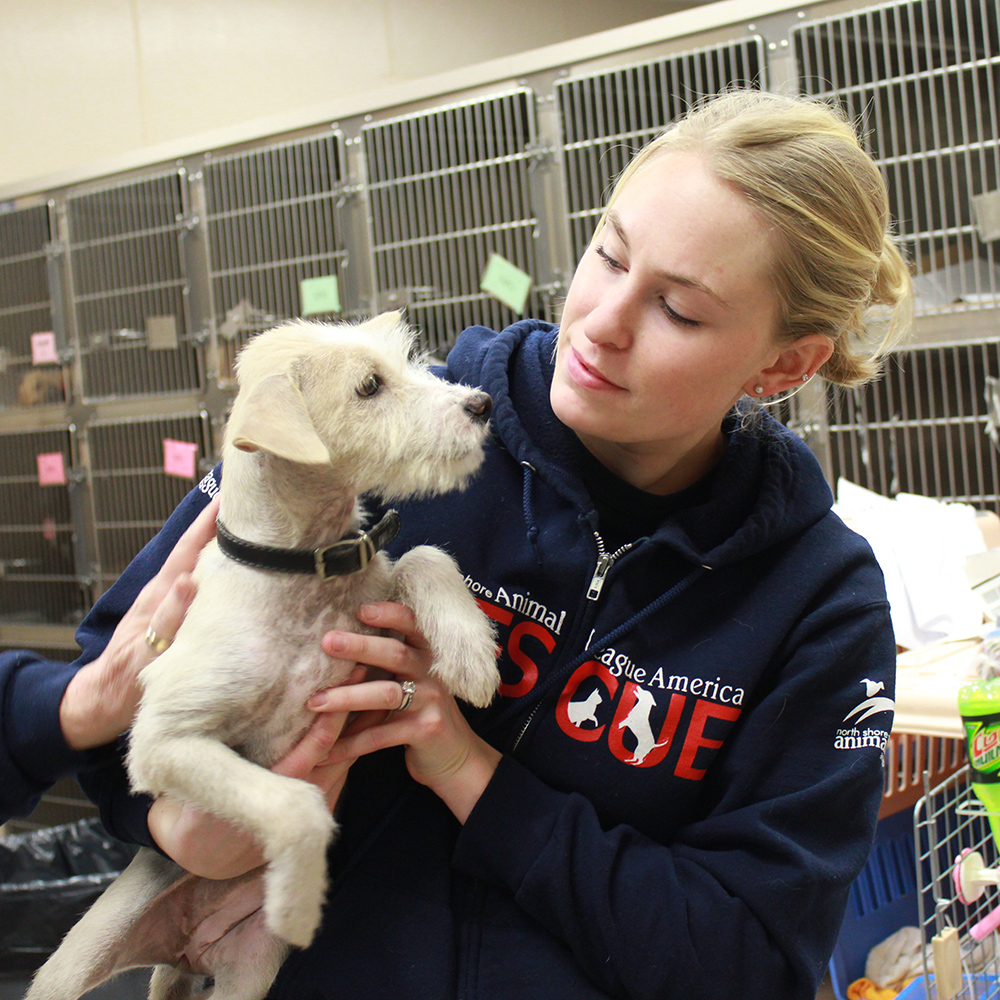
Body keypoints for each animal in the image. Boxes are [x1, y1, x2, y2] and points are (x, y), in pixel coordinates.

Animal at [25, 312, 500, 1000]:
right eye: (368, 386)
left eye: (411, 363)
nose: (482, 404)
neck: (302, 573)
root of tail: (183, 950)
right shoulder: (164, 743)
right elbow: (296, 805)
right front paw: (298, 902)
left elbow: (424, 555)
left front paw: (470, 655)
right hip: (73, 964)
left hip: (250, 971)